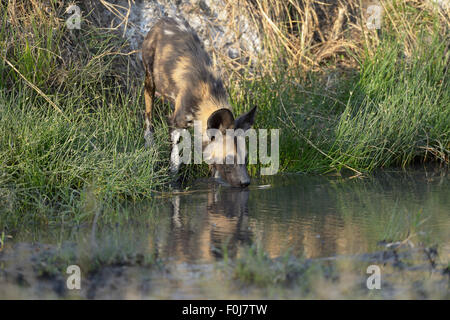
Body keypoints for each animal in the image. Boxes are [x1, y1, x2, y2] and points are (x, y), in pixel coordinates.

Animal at [142, 17, 258, 188]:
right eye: (230, 160)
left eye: (245, 158)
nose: (246, 183)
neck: (207, 98)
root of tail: (166, 18)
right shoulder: (175, 124)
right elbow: (175, 160)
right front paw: (173, 181)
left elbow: (214, 172)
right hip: (150, 79)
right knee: (148, 110)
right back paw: (149, 140)